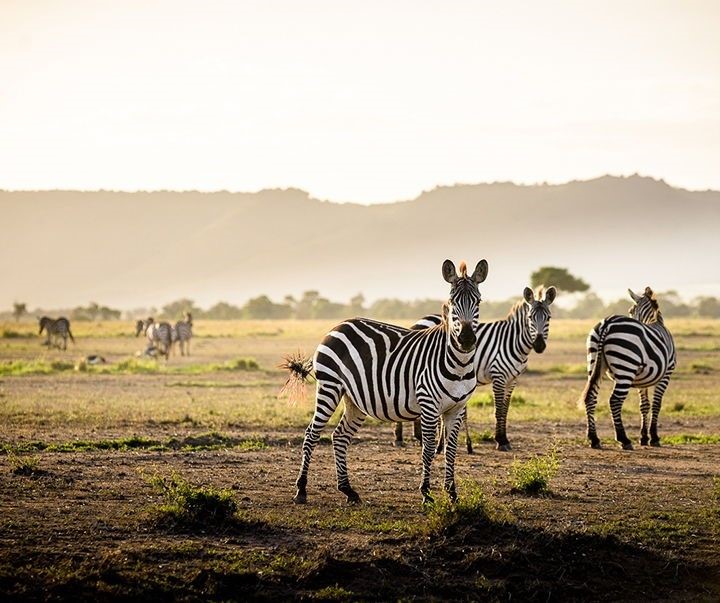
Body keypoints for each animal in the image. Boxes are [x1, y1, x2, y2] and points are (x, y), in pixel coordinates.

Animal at [284, 260, 486, 504]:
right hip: (329, 387)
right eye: (452, 302)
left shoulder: (457, 408)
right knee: (311, 435)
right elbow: (428, 448)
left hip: (355, 399)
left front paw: (452, 494)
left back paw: (348, 491)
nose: (466, 340)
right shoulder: (428, 404)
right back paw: (301, 490)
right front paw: (426, 493)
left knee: (339, 437)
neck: (459, 365)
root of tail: (338, 325)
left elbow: (451, 449)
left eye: (478, 301)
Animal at [394, 288, 556, 452]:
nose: (539, 345)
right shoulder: (498, 375)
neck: (514, 341)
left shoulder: (512, 380)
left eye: (548, 318)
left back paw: (416, 437)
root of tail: (420, 321)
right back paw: (401, 438)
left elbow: (505, 409)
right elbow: (498, 409)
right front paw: (500, 440)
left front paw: (504, 439)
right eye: (530, 318)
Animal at [580, 286, 676, 450]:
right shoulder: (666, 373)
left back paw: (594, 439)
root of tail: (607, 323)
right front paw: (654, 438)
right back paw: (623, 439)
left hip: (594, 363)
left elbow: (644, 405)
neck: (654, 321)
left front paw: (644, 437)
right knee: (615, 400)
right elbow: (656, 404)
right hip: (625, 368)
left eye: (630, 310)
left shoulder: (643, 378)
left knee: (591, 397)